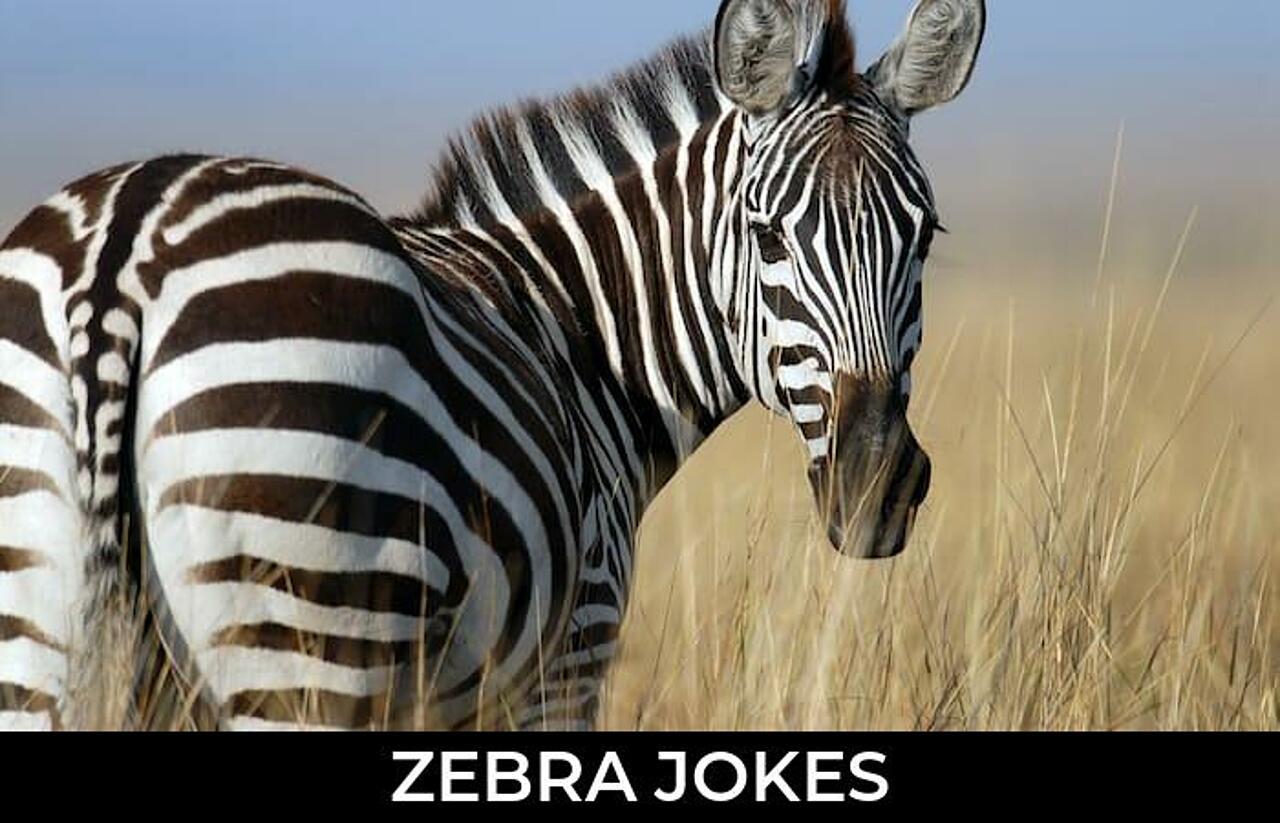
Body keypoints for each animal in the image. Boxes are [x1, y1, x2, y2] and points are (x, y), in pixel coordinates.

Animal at [0, 0, 984, 731]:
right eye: (767, 234)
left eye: (925, 236)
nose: (877, 485)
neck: (584, 334)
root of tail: (123, 252)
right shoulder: (570, 651)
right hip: (303, 635)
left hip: (41, 635)